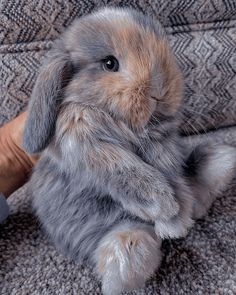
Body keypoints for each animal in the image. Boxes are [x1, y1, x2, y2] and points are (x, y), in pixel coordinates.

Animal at [22, 7, 236, 295]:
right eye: (109, 64)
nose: (160, 90)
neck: (131, 127)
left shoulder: (164, 152)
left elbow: (176, 182)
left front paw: (177, 223)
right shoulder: (89, 144)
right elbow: (135, 176)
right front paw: (169, 213)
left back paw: (215, 176)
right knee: (129, 243)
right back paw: (123, 276)